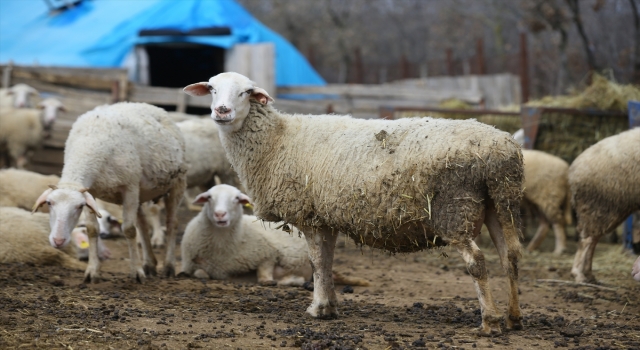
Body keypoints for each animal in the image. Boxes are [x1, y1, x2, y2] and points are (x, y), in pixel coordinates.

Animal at [31, 102, 188, 284]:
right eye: (49, 203)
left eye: (78, 207)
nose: (58, 241)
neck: (89, 144)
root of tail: (150, 106)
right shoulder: (91, 192)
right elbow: (92, 229)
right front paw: (92, 271)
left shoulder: (130, 187)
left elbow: (129, 229)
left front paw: (136, 272)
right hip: (142, 192)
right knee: (142, 223)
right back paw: (149, 265)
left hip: (177, 183)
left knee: (171, 223)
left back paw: (168, 266)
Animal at [180, 183, 370, 288]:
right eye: (209, 198)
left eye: (237, 199)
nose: (220, 214)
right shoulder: (191, 264)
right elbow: (200, 273)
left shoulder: (267, 253)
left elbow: (264, 272)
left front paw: (267, 280)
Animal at [568, 127, 640, 284]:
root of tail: (573, 170)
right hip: (600, 204)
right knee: (586, 241)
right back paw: (579, 274)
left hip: (609, 208)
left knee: (593, 239)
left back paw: (589, 273)